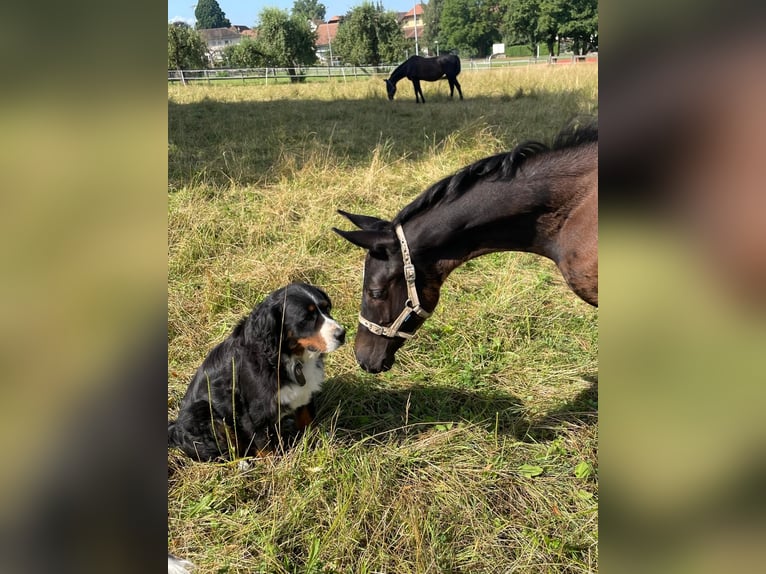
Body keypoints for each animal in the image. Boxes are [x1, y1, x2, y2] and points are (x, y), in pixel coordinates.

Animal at [171, 284, 348, 464]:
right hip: (204, 414)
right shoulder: (256, 412)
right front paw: (275, 466)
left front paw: (315, 446)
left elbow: (308, 422)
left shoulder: (304, 395)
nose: (342, 334)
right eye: (306, 318)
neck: (286, 357)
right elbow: (266, 446)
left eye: (327, 308)